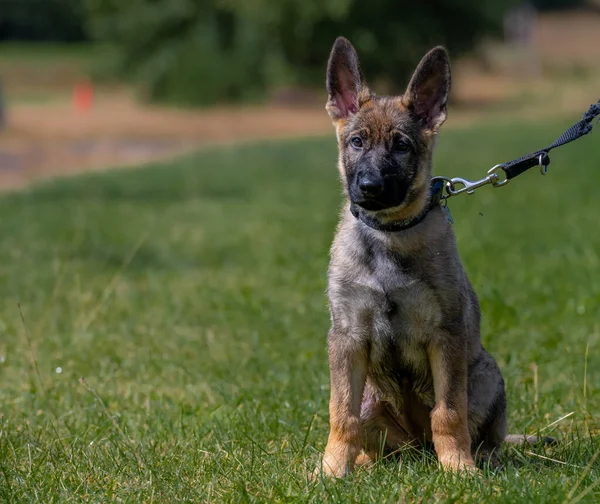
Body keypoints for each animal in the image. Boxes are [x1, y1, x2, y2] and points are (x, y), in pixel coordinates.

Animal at [316, 38, 536, 476]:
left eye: (402, 145)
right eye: (357, 142)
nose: (370, 186)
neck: (388, 235)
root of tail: (417, 447)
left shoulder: (444, 335)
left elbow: (448, 412)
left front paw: (459, 468)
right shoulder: (346, 337)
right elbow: (341, 414)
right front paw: (331, 471)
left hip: (485, 374)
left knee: (483, 434)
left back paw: (478, 458)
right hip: (373, 398)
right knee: (374, 438)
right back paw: (364, 464)